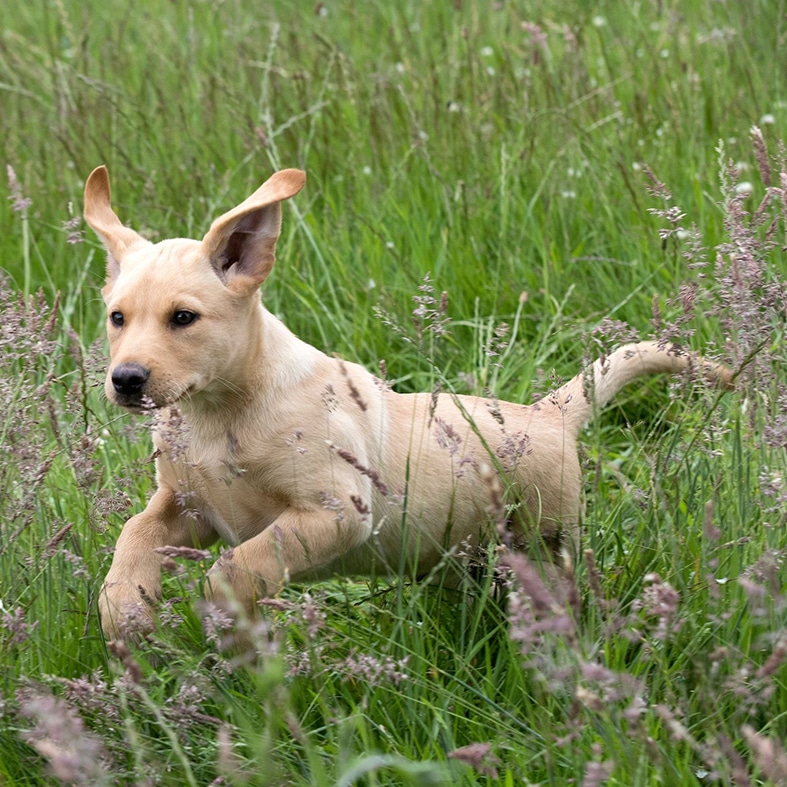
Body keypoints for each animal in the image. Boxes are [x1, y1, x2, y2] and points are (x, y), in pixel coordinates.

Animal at [83, 168, 728, 640]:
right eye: (117, 318)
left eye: (183, 318)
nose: (127, 380)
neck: (220, 413)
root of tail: (549, 414)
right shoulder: (186, 505)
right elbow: (136, 532)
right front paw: (124, 608)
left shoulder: (336, 511)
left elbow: (241, 564)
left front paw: (226, 619)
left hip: (546, 544)